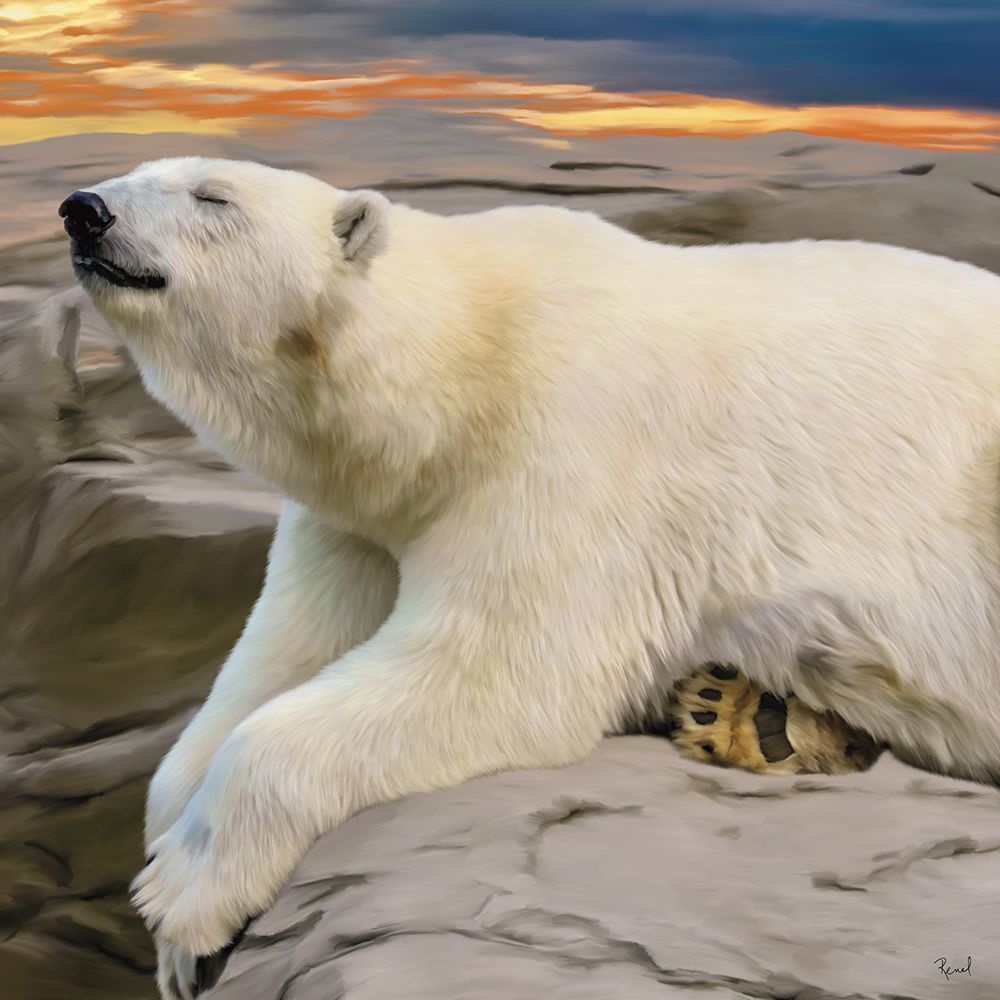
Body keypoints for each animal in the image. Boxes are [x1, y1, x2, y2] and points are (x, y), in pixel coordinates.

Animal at [61, 156, 1000, 999]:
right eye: (142, 166)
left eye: (213, 196)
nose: (83, 209)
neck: (461, 361)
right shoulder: (360, 516)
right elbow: (285, 654)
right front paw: (178, 932)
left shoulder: (564, 442)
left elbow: (500, 673)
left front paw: (183, 895)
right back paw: (747, 711)